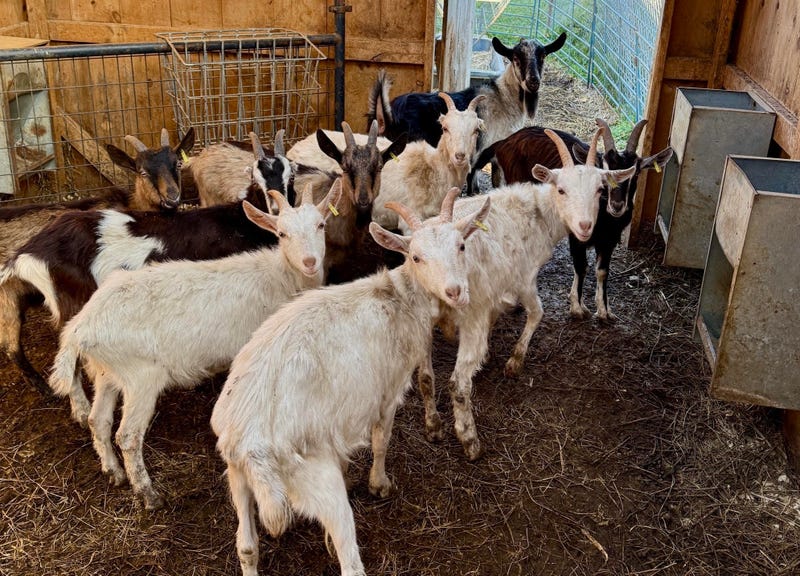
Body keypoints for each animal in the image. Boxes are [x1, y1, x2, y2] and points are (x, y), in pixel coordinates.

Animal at [48, 182, 340, 510]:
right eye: (282, 233)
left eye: (321, 224)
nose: (309, 262)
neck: (279, 276)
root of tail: (80, 327)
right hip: (140, 377)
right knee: (127, 435)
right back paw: (148, 494)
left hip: (107, 372)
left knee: (98, 420)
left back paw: (114, 472)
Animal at [210, 187, 491, 576]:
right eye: (416, 256)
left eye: (461, 245)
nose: (455, 291)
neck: (399, 297)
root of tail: (254, 449)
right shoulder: (386, 393)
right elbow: (381, 440)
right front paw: (379, 484)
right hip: (316, 478)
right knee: (350, 561)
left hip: (236, 475)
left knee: (247, 547)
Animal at [415, 128, 636, 461]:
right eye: (561, 189)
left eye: (600, 190)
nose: (585, 227)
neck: (537, 212)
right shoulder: (525, 277)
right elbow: (537, 313)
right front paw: (514, 361)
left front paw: (491, 353)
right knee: (456, 383)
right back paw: (469, 440)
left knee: (425, 377)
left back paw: (433, 427)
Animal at [466, 118, 673, 319]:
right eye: (603, 168)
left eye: (636, 172)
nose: (617, 205)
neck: (605, 220)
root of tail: (505, 141)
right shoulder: (577, 236)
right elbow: (581, 266)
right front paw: (577, 308)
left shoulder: (609, 241)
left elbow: (602, 271)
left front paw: (604, 310)